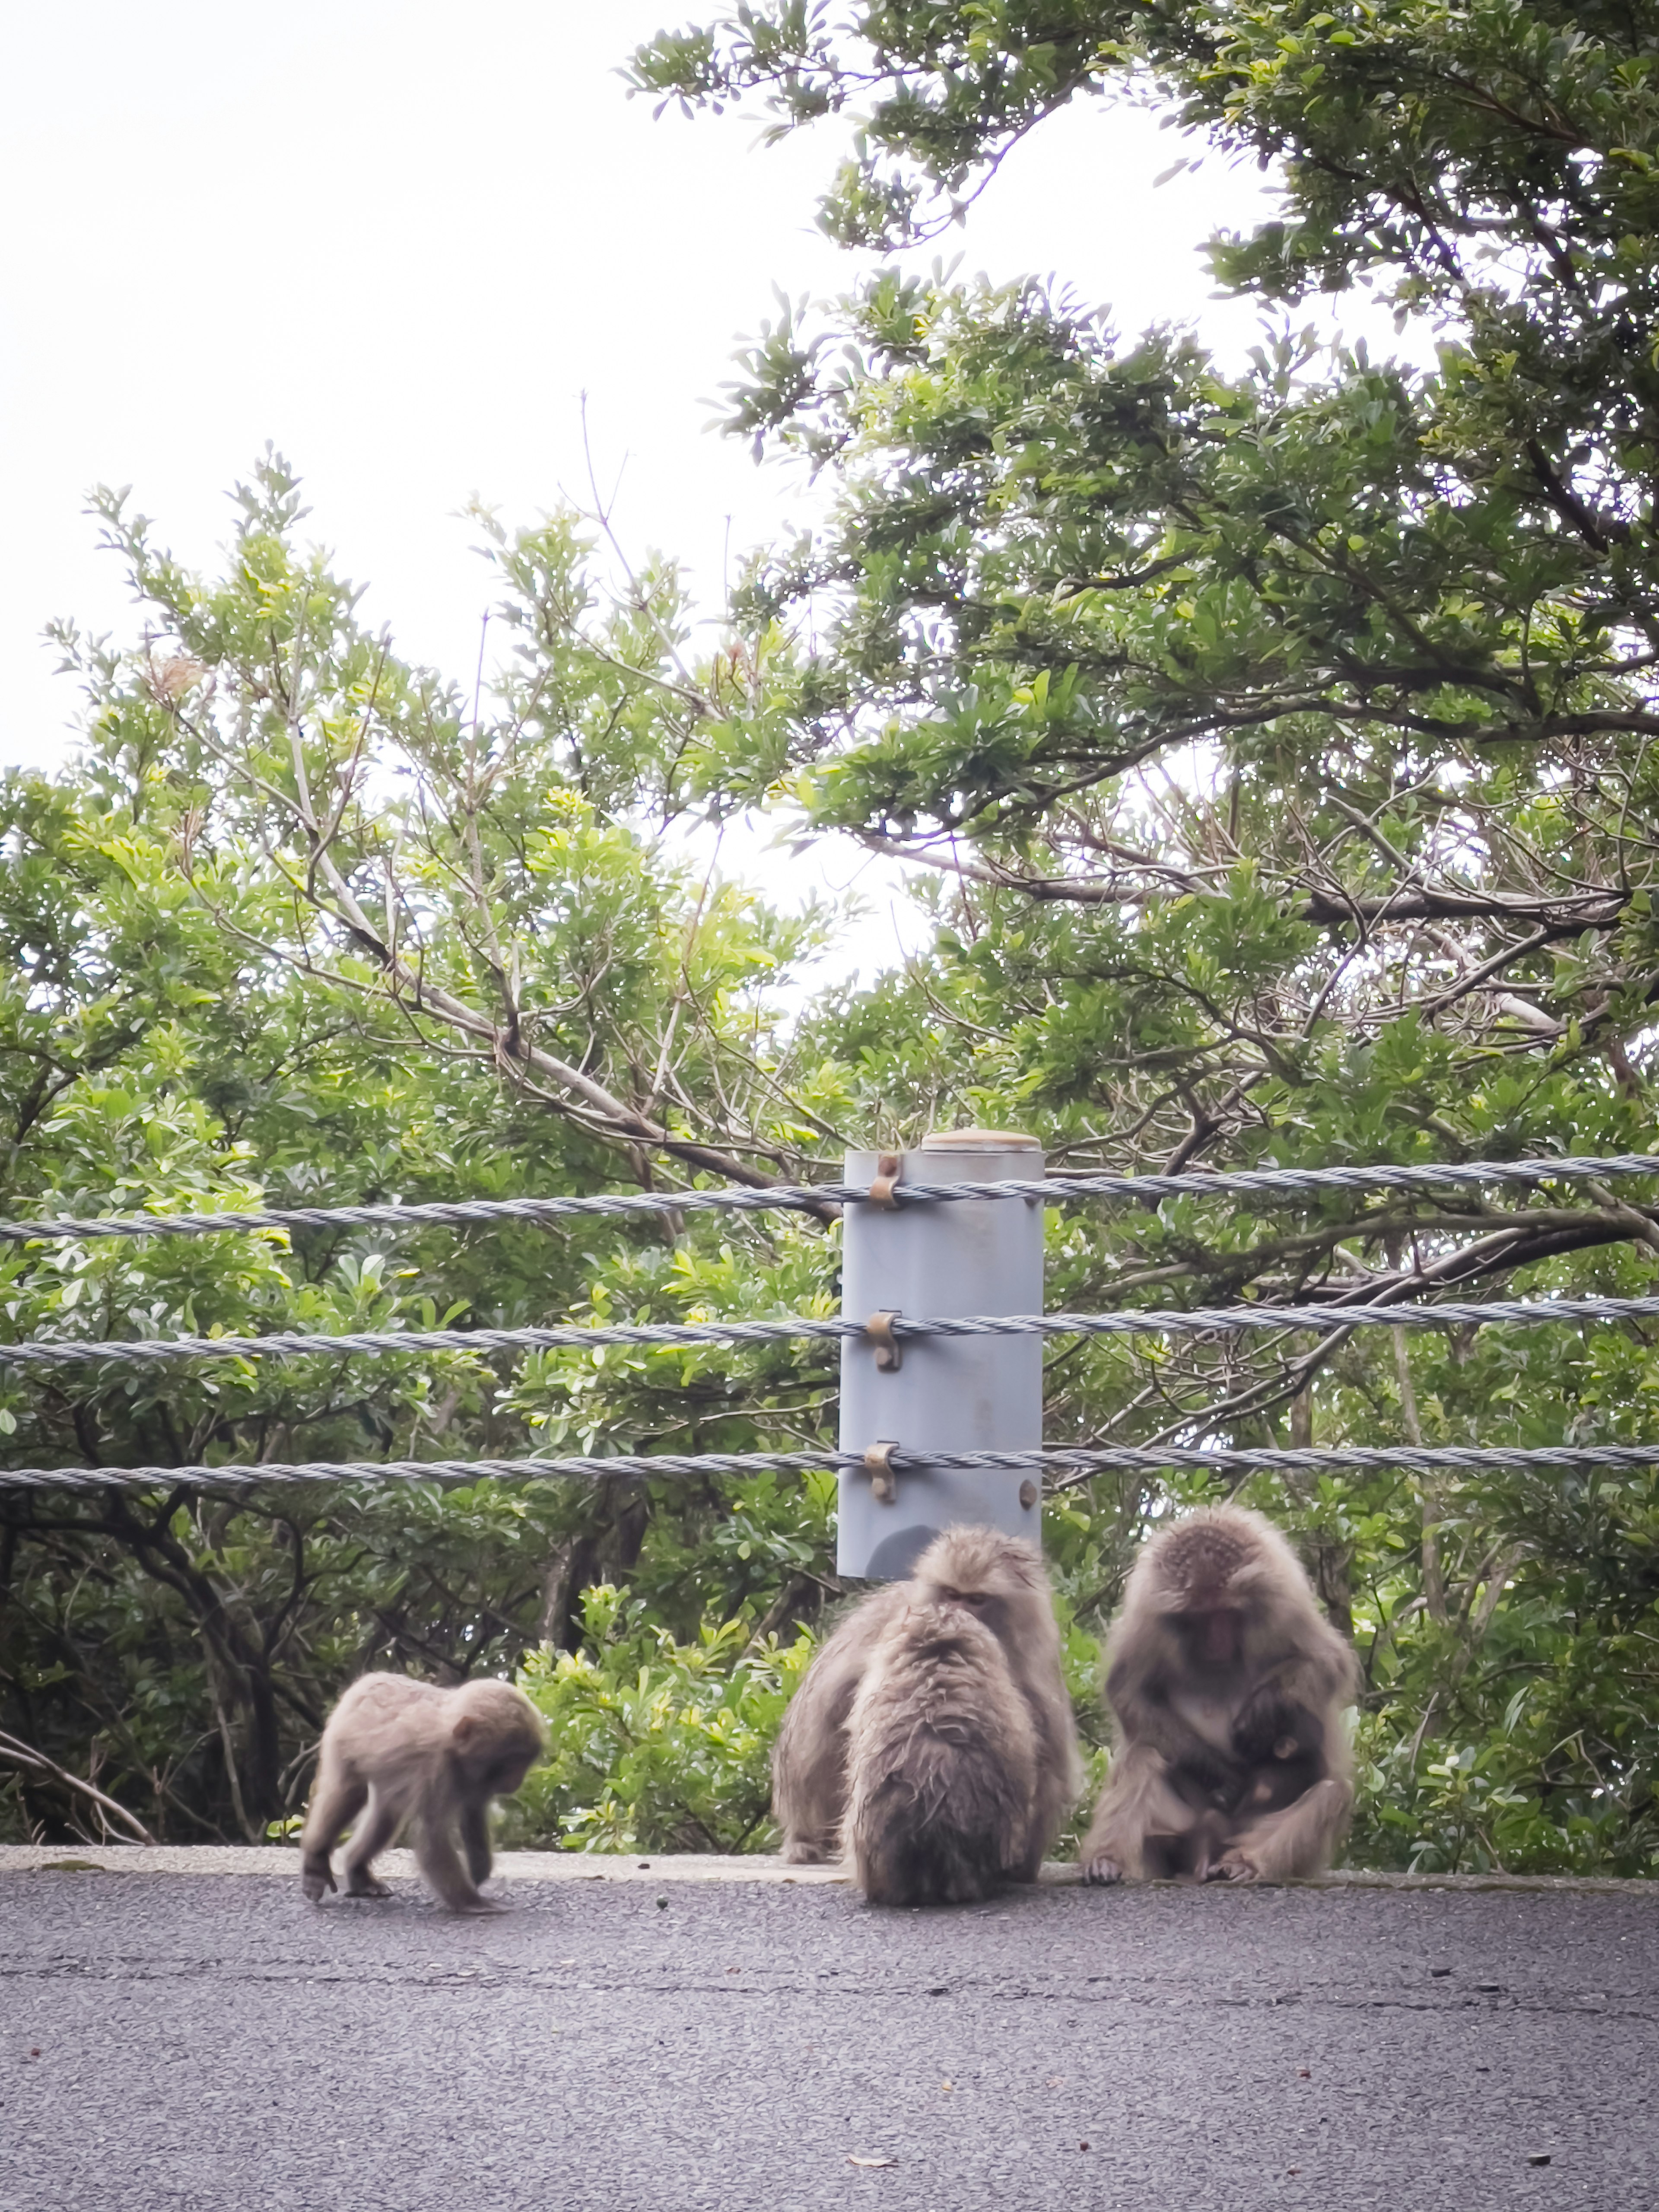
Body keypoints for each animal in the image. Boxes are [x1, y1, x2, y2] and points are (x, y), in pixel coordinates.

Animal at [303, 1663, 548, 1911]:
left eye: (525, 1761)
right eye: (512, 1761)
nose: (517, 1782)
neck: (454, 1749)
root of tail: (364, 1682)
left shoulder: (475, 1780)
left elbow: (472, 1812)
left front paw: (479, 1873)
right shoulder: (435, 1770)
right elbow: (433, 1834)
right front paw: (473, 1903)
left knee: (386, 1818)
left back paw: (359, 1872)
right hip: (341, 1741)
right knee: (347, 1793)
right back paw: (316, 1863)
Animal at [774, 1531, 1084, 1893]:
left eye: (977, 1599)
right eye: (952, 1594)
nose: (956, 1613)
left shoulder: (1037, 1655)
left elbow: (1051, 1760)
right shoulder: (894, 1619)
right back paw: (804, 1839)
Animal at [1079, 1504, 1362, 1885]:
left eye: (1225, 1613)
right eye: (1198, 1618)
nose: (1216, 1643)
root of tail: (1207, 1849)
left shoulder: (1284, 1608)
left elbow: (1326, 1662)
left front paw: (1264, 1709)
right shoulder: (1149, 1622)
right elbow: (1129, 1692)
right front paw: (1219, 1772)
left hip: (1252, 1835)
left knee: (1332, 1792)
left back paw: (1244, 1862)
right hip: (1176, 1835)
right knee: (1144, 1756)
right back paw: (1108, 1861)